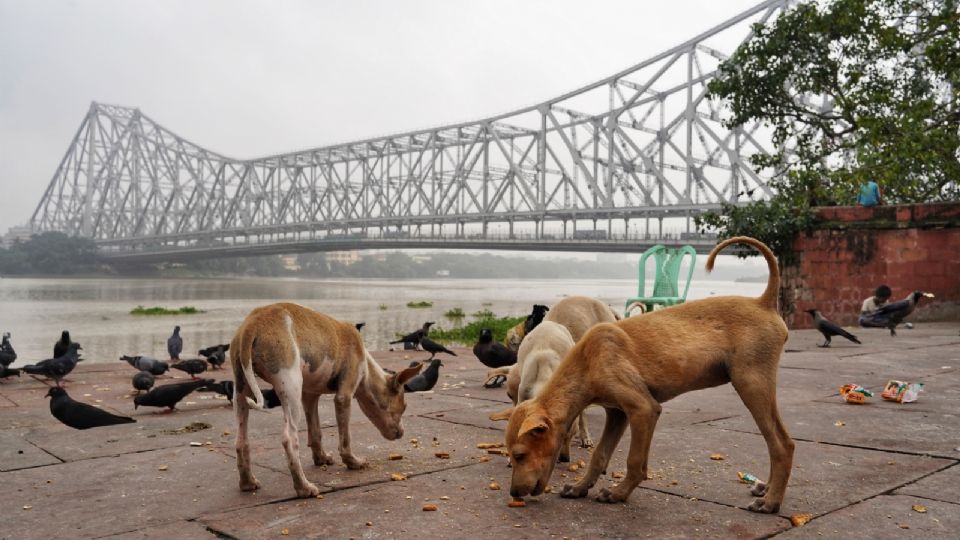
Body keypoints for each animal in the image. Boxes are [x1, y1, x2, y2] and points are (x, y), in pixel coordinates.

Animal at [231, 302, 422, 496]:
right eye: (403, 407)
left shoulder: (309, 396)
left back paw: (247, 482)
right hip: (290, 386)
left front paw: (321, 458)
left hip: (241, 390)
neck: (367, 369)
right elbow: (345, 438)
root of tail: (253, 324)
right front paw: (353, 462)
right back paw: (303, 487)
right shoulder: (344, 396)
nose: (401, 433)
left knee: (241, 440)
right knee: (289, 439)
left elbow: (316, 431)